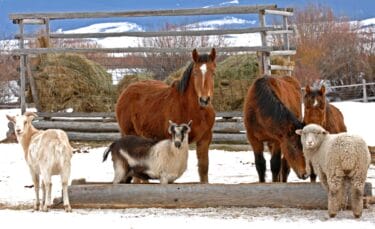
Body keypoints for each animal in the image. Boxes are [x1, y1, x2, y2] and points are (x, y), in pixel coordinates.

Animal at [117, 47, 217, 182]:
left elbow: (203, 169)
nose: (204, 100)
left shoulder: (205, 139)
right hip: (130, 134)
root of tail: (126, 91)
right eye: (195, 72)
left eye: (213, 72)